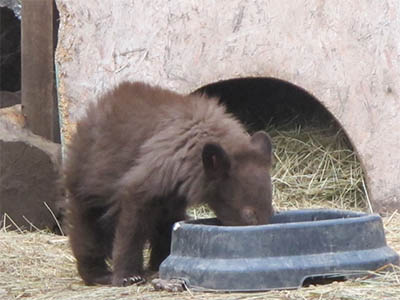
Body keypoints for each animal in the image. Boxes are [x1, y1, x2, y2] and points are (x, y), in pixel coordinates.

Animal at [63, 81, 276, 288]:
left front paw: (162, 261)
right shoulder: (157, 169)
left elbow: (168, 223)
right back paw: (97, 273)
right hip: (88, 176)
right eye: (248, 214)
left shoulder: (174, 191)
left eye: (271, 210)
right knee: (88, 225)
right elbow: (133, 219)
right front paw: (128, 276)